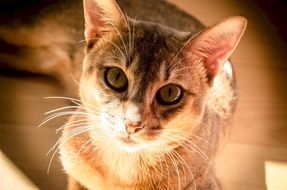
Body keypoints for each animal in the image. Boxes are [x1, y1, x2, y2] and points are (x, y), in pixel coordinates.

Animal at [0, 0, 248, 189]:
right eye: (116, 77)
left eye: (170, 92)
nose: (132, 123)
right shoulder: (75, 174)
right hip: (27, 31)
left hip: (34, 58)